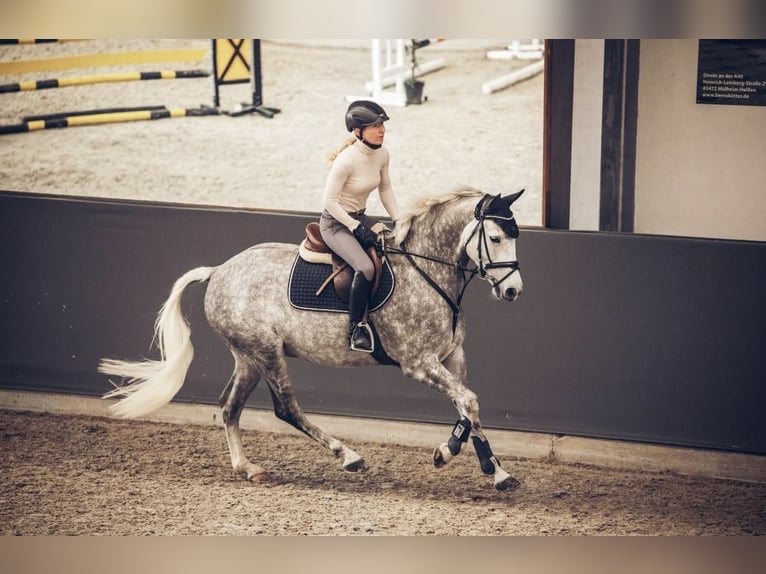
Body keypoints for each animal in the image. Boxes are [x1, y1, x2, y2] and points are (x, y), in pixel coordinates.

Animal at [99, 186, 525, 491]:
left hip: (248, 357)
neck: (425, 272)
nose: (513, 291)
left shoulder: (452, 356)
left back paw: (248, 467)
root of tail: (218, 270)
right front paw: (481, 467)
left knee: (229, 407)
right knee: (286, 408)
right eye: (495, 238)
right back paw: (348, 456)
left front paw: (466, 459)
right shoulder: (418, 363)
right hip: (267, 352)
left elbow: (466, 407)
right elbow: (469, 401)